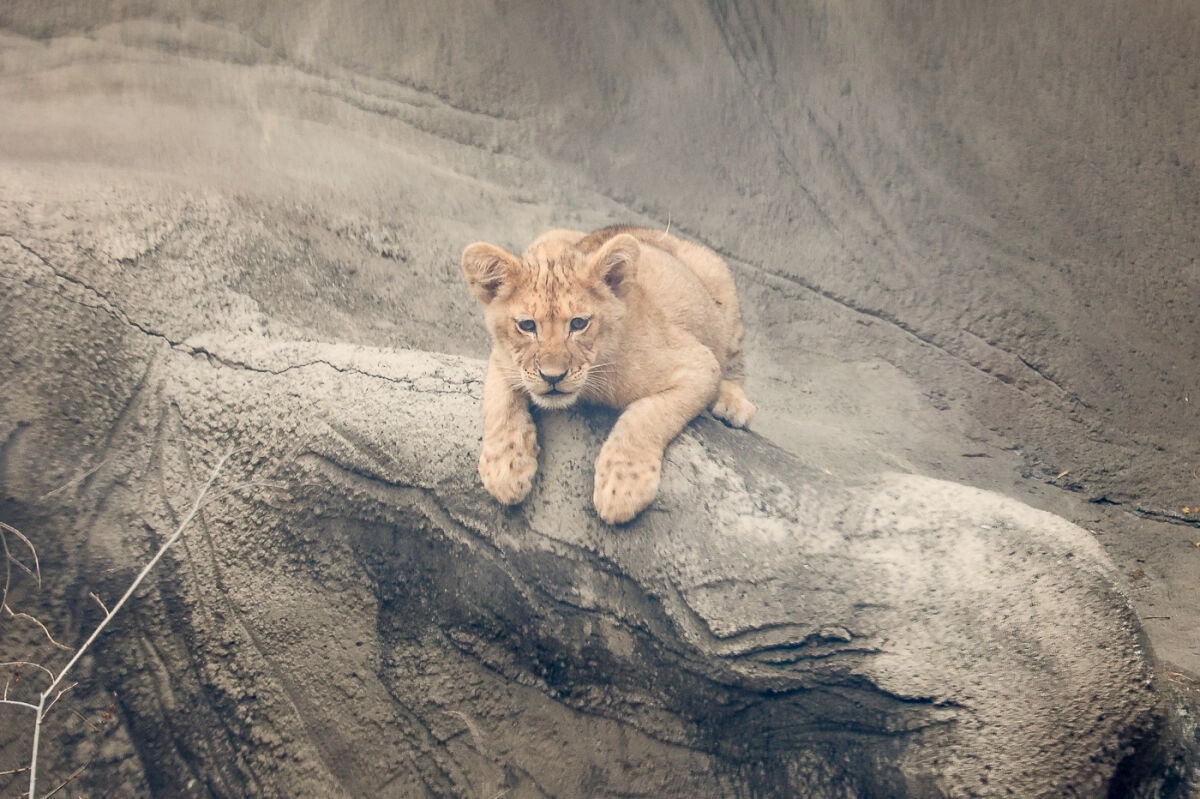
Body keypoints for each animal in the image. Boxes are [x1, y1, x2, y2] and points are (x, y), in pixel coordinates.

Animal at [461, 225, 755, 523]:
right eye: (527, 325)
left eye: (579, 323)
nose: (552, 377)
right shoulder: (503, 359)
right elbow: (500, 405)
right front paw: (505, 470)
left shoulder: (699, 363)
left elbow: (646, 417)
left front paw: (622, 487)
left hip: (720, 284)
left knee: (734, 360)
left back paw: (733, 404)